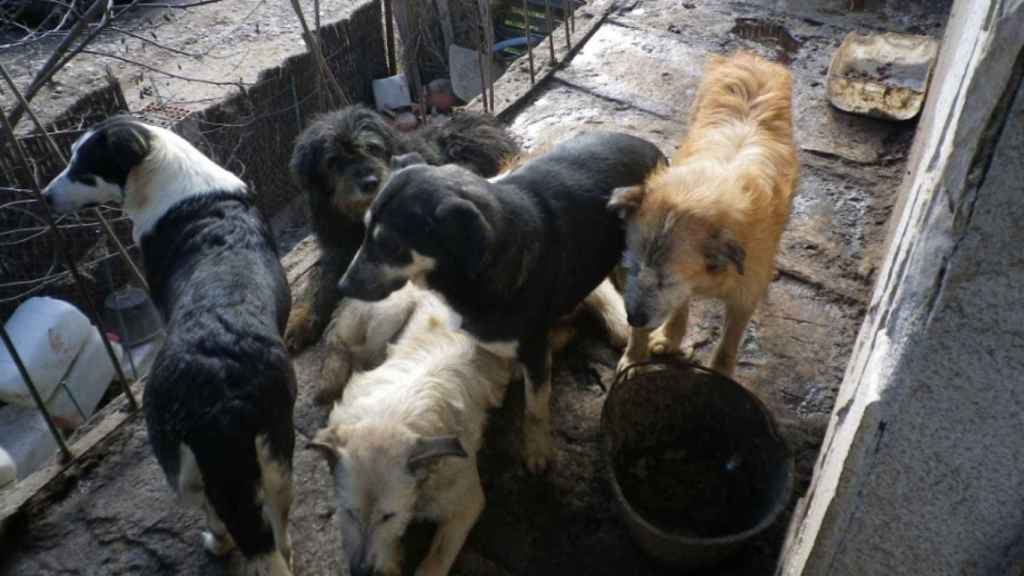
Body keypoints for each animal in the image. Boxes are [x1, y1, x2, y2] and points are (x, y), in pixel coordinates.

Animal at [46, 114, 299, 569]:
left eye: (83, 170)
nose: (43, 197)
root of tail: (222, 387)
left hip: (180, 465)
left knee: (218, 514)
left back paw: (217, 543)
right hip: (276, 449)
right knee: (278, 529)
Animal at [282, 103, 516, 350]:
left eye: (372, 148)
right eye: (334, 161)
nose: (370, 182)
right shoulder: (336, 247)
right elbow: (321, 282)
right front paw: (302, 321)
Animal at [339, 131, 667, 471]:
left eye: (390, 245)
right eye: (364, 230)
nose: (341, 286)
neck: (473, 269)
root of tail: (649, 146)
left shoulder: (534, 348)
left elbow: (535, 407)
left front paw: (536, 449)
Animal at [606, 51, 798, 375]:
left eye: (667, 281)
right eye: (629, 268)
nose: (634, 319)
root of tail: (754, 57)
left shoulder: (744, 294)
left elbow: (730, 340)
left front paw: (719, 373)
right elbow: (679, 308)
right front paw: (647, 349)